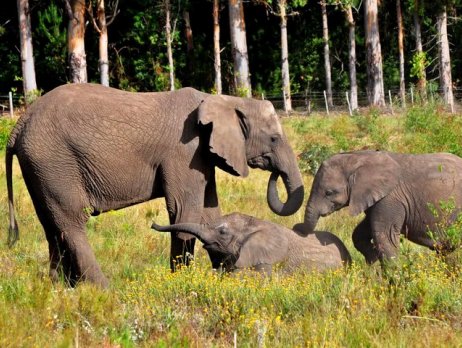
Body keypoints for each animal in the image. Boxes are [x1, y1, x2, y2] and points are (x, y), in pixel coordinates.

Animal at [7, 83, 304, 286]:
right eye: (274, 138)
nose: (274, 173)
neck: (224, 100)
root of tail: (19, 125)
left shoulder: (202, 155)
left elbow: (210, 214)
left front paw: (223, 279)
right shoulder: (185, 151)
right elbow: (185, 212)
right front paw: (182, 283)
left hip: (40, 167)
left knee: (51, 224)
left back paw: (61, 288)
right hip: (54, 161)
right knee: (72, 221)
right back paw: (103, 290)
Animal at [294, 150, 462, 264]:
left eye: (329, 193)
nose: (296, 227)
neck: (359, 157)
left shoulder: (390, 198)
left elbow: (385, 237)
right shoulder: (374, 199)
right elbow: (359, 234)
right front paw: (373, 263)